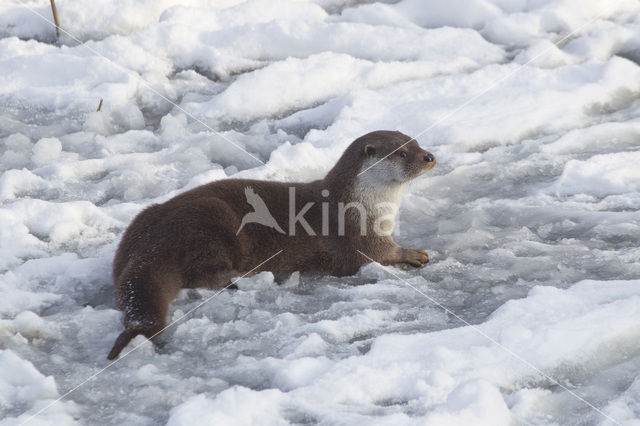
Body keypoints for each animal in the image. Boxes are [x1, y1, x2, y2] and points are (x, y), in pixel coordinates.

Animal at [109, 130, 436, 360]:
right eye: (402, 153)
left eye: (418, 143)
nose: (429, 156)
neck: (366, 204)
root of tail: (153, 241)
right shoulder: (359, 234)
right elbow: (380, 254)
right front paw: (414, 253)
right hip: (210, 221)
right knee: (202, 274)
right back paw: (242, 278)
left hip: (141, 222)